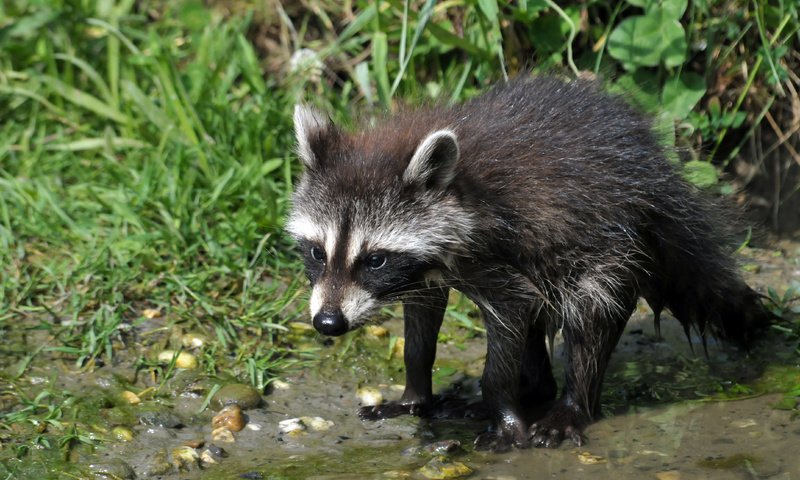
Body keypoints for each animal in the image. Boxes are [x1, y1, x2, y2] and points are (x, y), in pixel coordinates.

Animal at [286, 77, 768, 452]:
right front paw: (415, 393)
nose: (327, 323)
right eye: (317, 252)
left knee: (590, 314)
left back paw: (571, 404)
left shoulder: (494, 254)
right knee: (541, 316)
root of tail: (659, 173)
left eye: (375, 260)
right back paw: (536, 389)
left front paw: (502, 405)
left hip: (613, 242)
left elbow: (512, 315)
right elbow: (423, 324)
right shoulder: (428, 270)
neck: (458, 188)